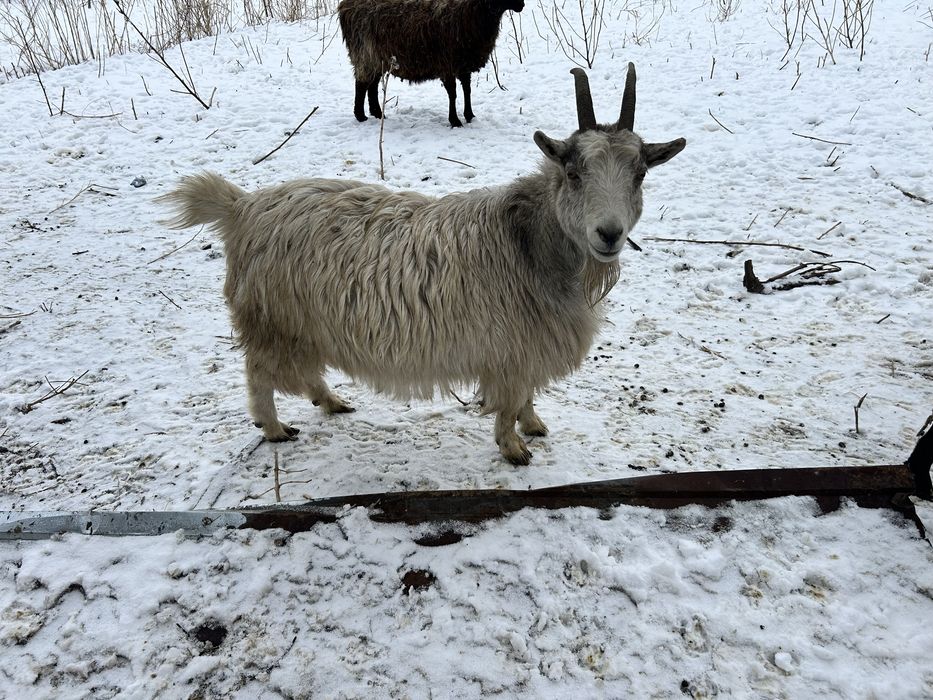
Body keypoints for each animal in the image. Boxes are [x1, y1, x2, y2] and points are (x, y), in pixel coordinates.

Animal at [161, 66, 686, 465]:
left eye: (640, 174)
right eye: (573, 173)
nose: (609, 234)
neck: (529, 241)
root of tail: (242, 207)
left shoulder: (528, 346)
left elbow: (527, 395)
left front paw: (533, 424)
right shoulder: (511, 350)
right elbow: (510, 400)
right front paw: (513, 447)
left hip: (305, 325)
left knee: (304, 373)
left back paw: (331, 402)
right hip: (275, 321)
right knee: (258, 375)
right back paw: (273, 428)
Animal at [337, 0, 525, 127]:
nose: (522, 5)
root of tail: (344, 6)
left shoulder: (463, 63)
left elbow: (467, 90)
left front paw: (470, 115)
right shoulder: (447, 63)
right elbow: (453, 93)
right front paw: (455, 120)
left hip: (379, 58)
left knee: (373, 85)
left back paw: (377, 113)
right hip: (365, 52)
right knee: (361, 84)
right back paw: (361, 116)